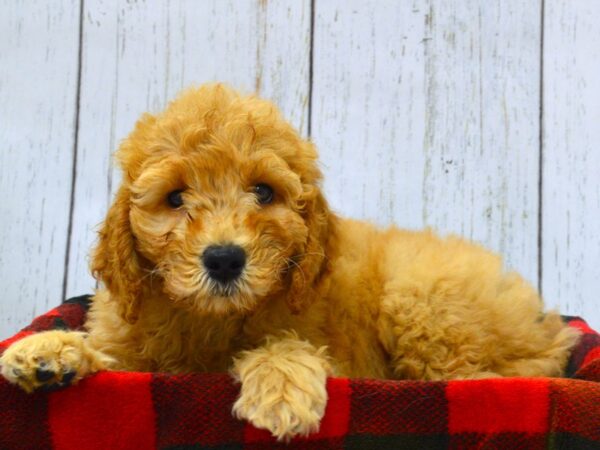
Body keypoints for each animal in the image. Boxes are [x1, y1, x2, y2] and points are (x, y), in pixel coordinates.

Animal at [1, 83, 580, 440]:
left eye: (263, 191)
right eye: (174, 198)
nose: (224, 259)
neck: (211, 322)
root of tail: (548, 325)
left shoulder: (335, 350)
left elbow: (287, 345)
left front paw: (279, 390)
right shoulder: (132, 340)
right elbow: (111, 355)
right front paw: (48, 351)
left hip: (422, 301)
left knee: (486, 379)